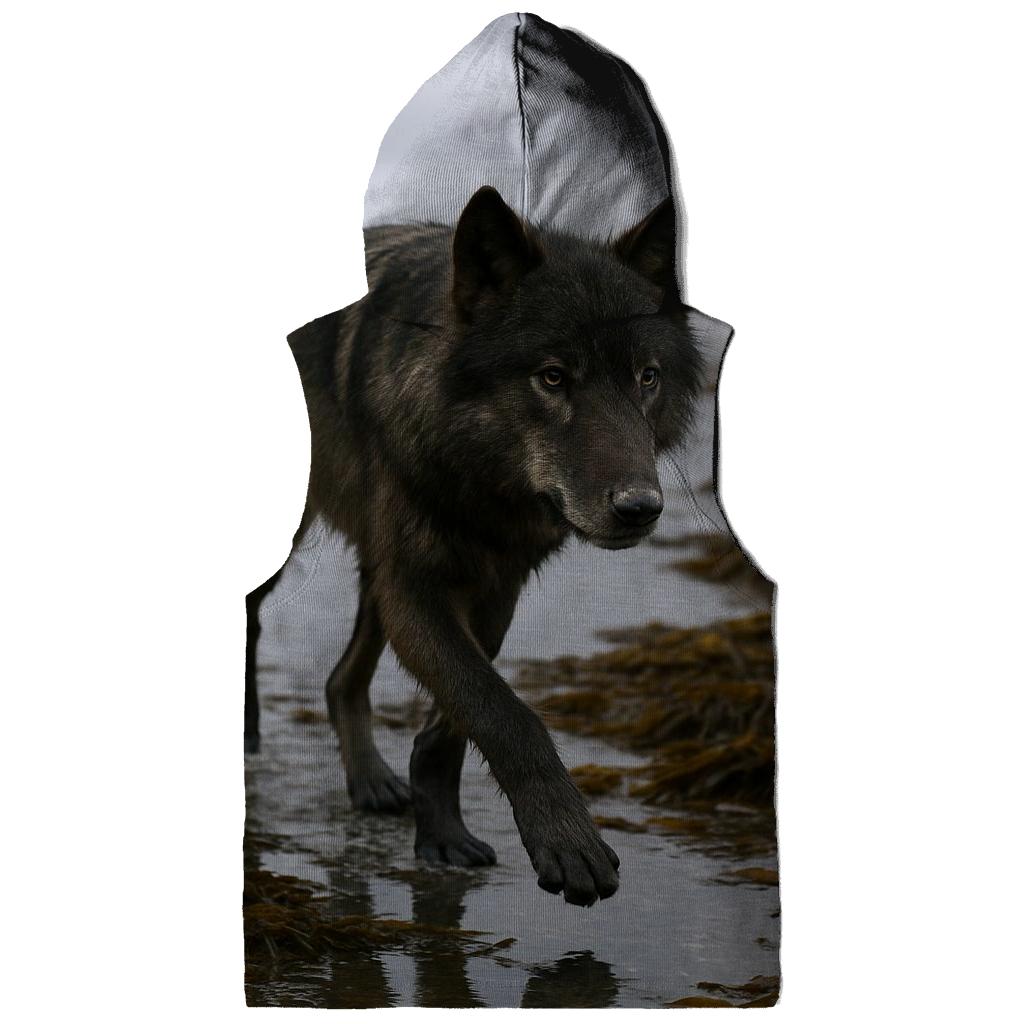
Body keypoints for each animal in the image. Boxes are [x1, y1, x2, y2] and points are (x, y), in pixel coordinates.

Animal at [257, 185, 707, 906]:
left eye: (647, 377)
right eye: (552, 377)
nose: (640, 509)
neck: (483, 479)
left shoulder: (490, 585)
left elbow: (463, 714)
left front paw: (440, 835)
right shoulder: (415, 588)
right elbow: (506, 713)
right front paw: (568, 840)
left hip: (375, 573)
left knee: (340, 678)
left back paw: (371, 780)